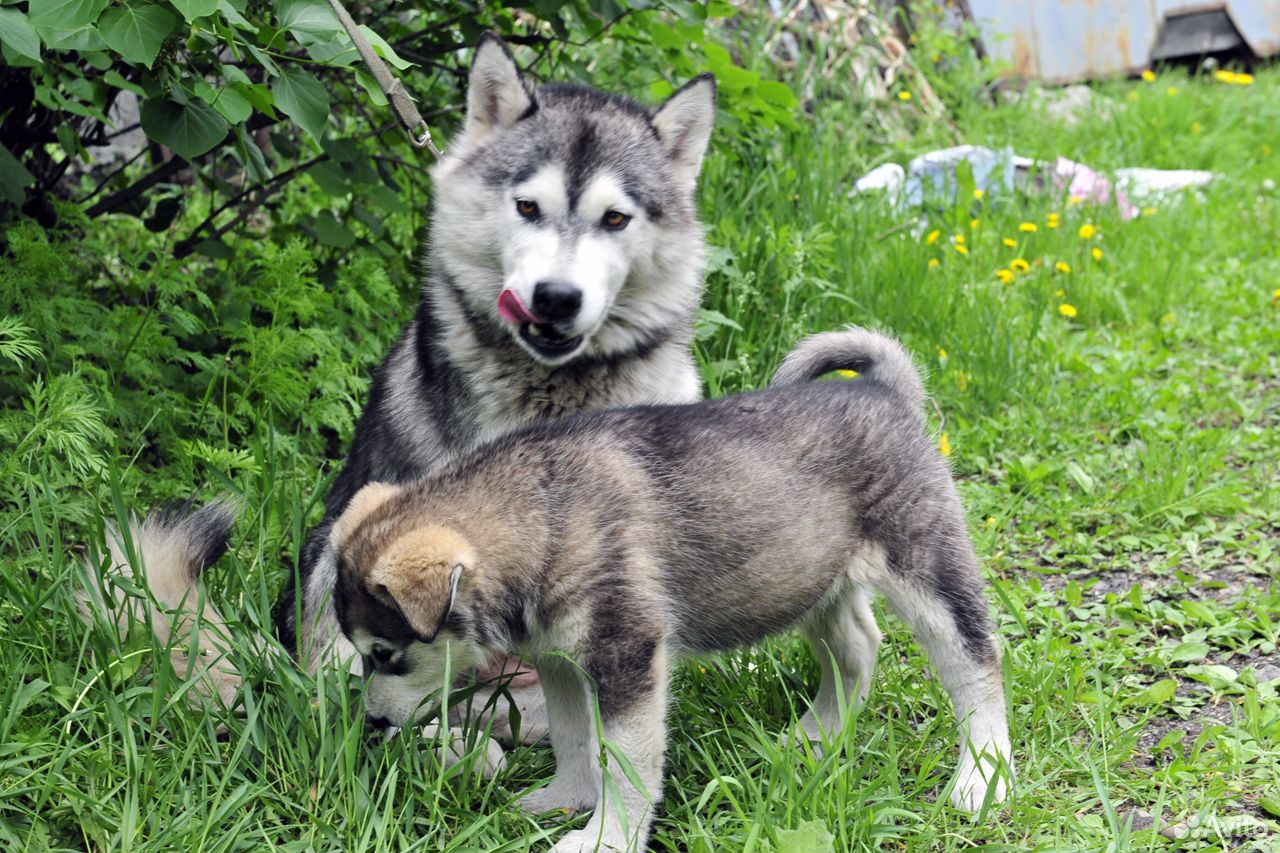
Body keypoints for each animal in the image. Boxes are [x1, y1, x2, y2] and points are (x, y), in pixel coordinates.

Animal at [81, 33, 721, 763]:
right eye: (528, 207)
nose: (556, 298)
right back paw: (449, 749)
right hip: (339, 586)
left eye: (615, 218)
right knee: (357, 718)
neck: (556, 388)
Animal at [335, 326, 1013, 850]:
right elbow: (575, 737)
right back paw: (813, 737)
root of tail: (884, 389)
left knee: (977, 666)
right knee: (859, 645)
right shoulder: (561, 660)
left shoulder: (628, 657)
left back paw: (983, 779)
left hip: (927, 569)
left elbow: (626, 765)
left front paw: (606, 838)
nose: (371, 724)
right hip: (808, 575)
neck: (543, 514)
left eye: (385, 655)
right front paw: (563, 801)